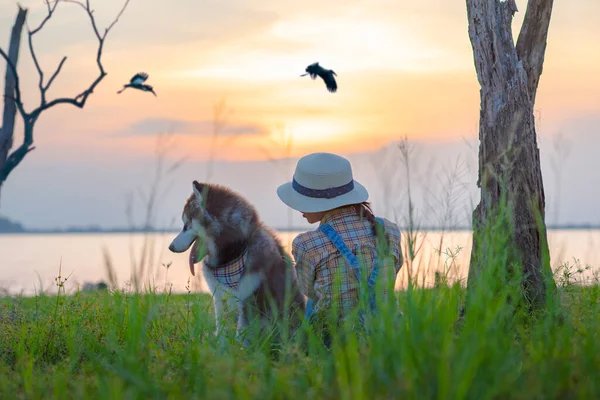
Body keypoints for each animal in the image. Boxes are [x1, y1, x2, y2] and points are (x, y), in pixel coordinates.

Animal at [170, 180, 308, 344]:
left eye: (186, 225)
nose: (170, 247)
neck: (232, 254)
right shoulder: (220, 299)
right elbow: (222, 331)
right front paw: (221, 348)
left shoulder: (249, 302)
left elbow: (242, 336)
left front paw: (240, 350)